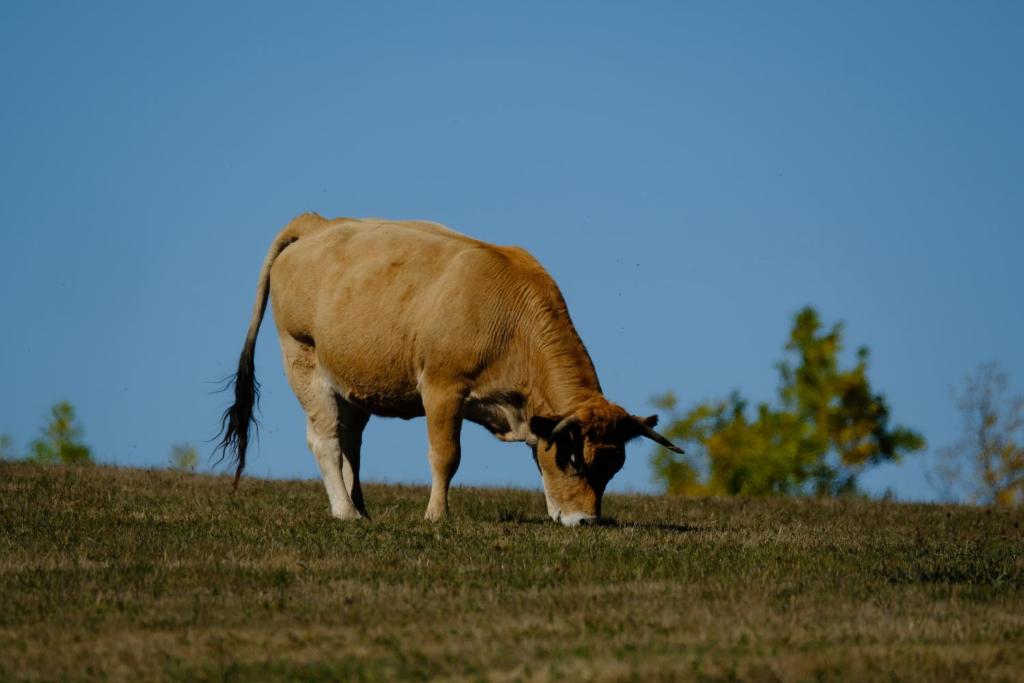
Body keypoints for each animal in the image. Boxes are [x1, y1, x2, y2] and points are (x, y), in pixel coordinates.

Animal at [217, 215, 684, 528]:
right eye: (572, 459)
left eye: (613, 467)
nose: (586, 521)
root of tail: (318, 223)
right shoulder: (443, 389)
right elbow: (446, 456)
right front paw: (436, 515)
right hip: (303, 359)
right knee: (326, 440)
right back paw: (345, 511)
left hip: (352, 383)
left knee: (350, 442)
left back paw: (361, 506)